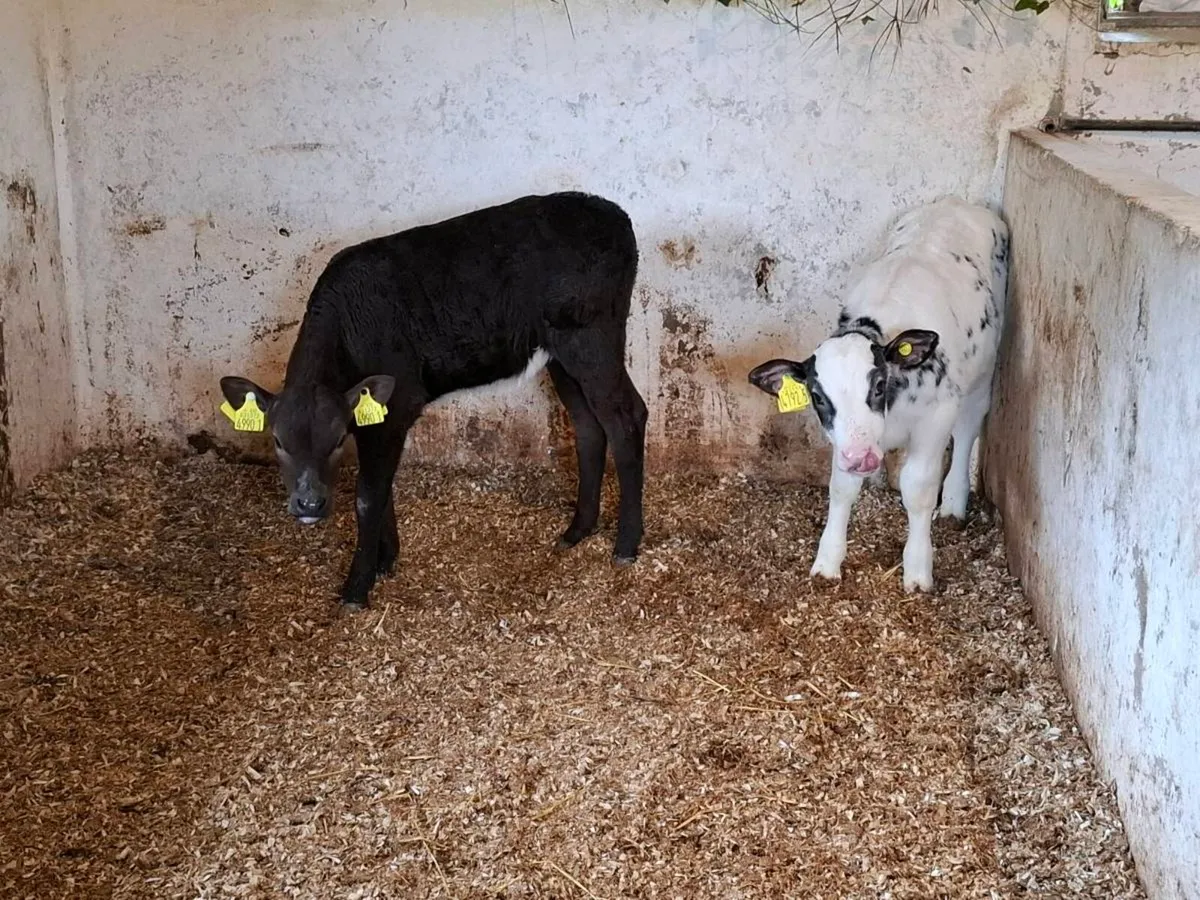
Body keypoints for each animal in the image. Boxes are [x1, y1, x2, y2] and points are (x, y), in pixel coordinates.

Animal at [219, 192, 647, 610]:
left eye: (338, 440)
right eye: (277, 441)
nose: (308, 505)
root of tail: (613, 213)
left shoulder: (398, 404)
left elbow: (368, 495)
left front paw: (357, 587)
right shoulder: (373, 414)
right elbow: (382, 488)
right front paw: (385, 559)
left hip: (591, 338)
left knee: (626, 417)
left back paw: (626, 543)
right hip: (562, 354)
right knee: (590, 427)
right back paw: (578, 529)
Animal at [748, 197, 1009, 593]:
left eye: (878, 386)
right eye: (818, 397)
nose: (861, 459)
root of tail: (957, 203)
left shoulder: (936, 417)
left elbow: (917, 488)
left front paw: (918, 570)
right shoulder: (844, 441)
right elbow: (842, 487)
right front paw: (827, 561)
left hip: (982, 372)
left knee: (967, 429)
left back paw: (953, 503)